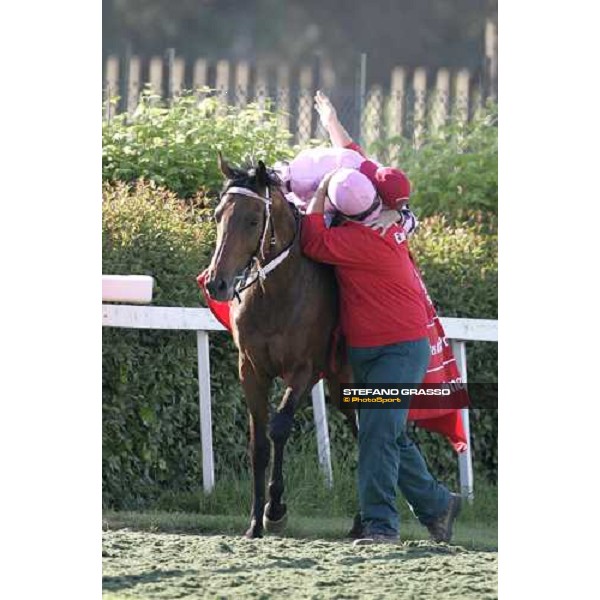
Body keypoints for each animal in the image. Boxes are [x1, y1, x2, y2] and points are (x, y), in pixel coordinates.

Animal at [206, 155, 356, 540]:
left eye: (253, 219)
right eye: (218, 215)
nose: (216, 283)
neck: (277, 293)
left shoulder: (303, 369)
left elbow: (279, 428)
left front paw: (275, 509)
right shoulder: (251, 369)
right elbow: (258, 443)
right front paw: (255, 521)